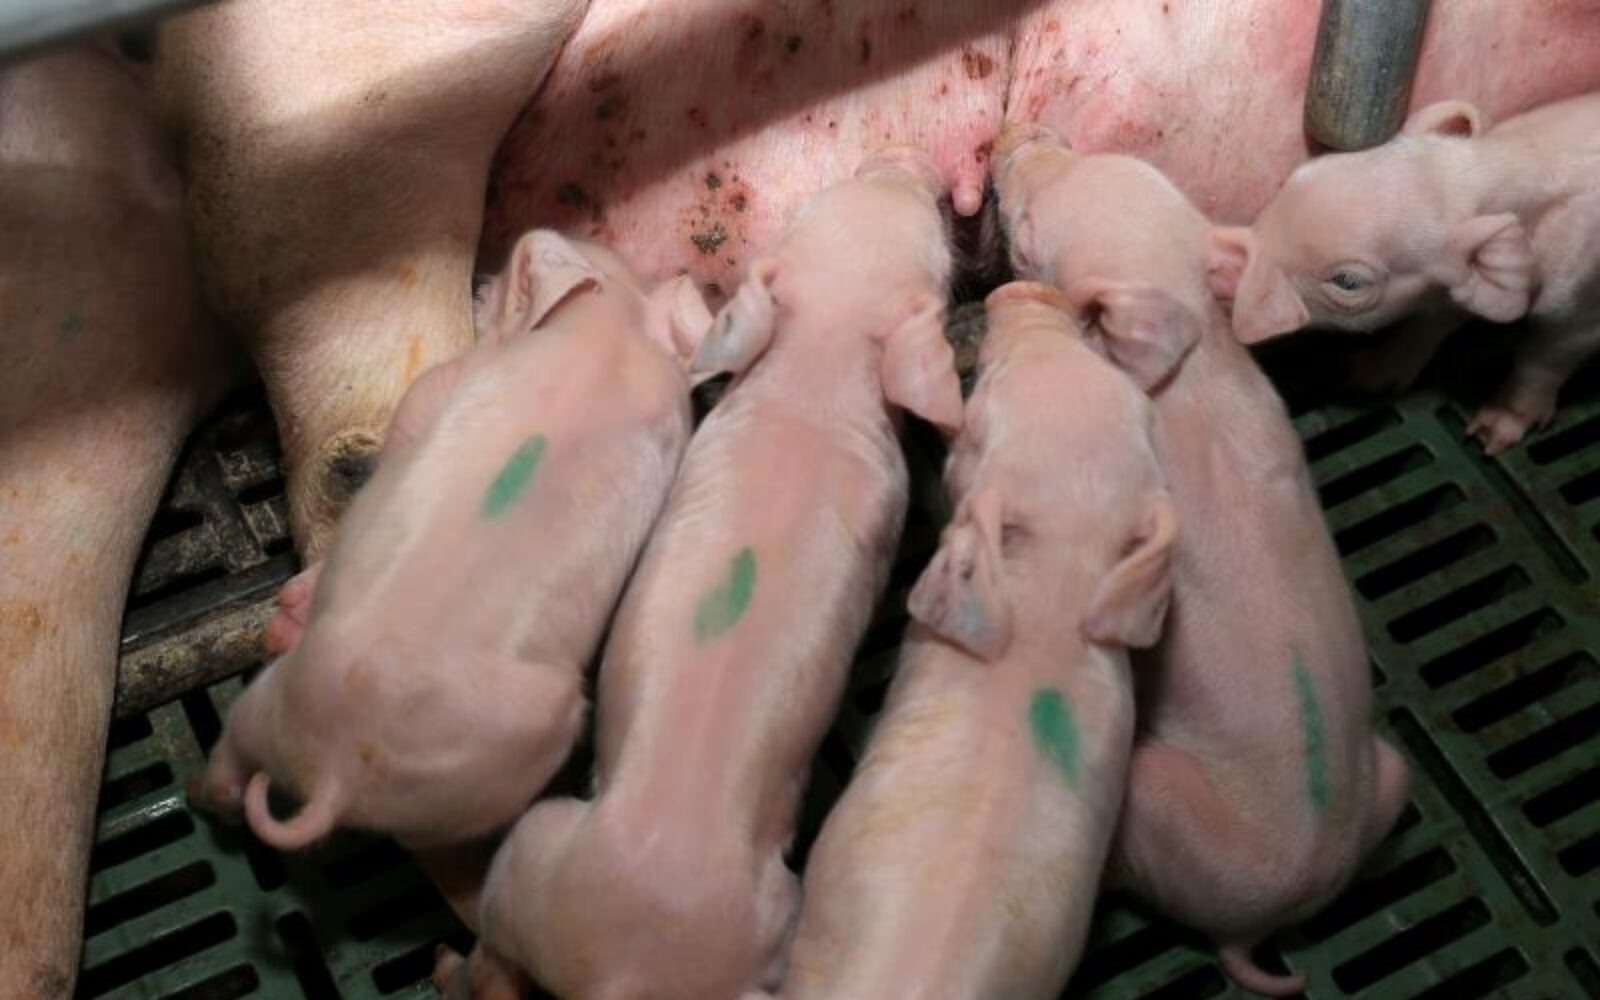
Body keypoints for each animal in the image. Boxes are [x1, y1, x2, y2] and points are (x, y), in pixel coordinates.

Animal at [993, 125, 1408, 996]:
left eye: (1029, 232)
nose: (1016, 136)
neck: (1186, 374)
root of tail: (1277, 916)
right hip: (1391, 772)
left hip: (1152, 791)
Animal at [1225, 93, 1600, 453]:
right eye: (1294, 178)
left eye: (1348, 281)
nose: (1231, 255)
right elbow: (1427, 326)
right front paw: (1365, 376)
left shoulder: (1579, 313)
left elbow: (1540, 362)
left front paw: (1487, 438)